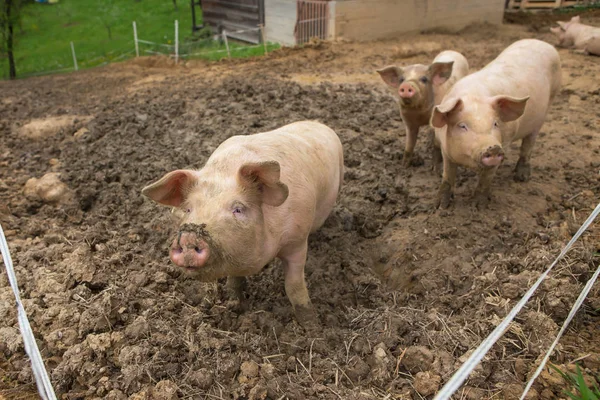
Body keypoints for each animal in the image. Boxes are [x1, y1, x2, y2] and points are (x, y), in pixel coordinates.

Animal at [141, 120, 344, 326]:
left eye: (238, 209)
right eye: (188, 209)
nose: (190, 237)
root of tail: (318, 123)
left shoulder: (297, 241)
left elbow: (294, 285)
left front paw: (312, 325)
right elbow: (234, 278)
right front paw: (235, 305)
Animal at [432, 39, 564, 209]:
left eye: (495, 123)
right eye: (462, 126)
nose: (493, 147)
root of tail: (543, 43)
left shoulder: (505, 143)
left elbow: (486, 179)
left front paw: (479, 206)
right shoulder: (445, 149)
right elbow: (448, 175)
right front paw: (440, 206)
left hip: (546, 108)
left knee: (528, 145)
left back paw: (521, 178)